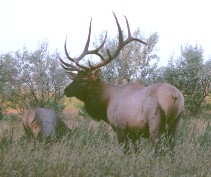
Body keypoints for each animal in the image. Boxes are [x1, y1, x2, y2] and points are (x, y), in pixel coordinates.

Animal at [59, 12, 185, 151]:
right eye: (75, 77)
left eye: (85, 80)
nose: (66, 90)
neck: (106, 102)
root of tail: (174, 95)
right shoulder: (135, 134)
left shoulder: (120, 128)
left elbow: (125, 151)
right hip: (176, 124)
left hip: (155, 123)